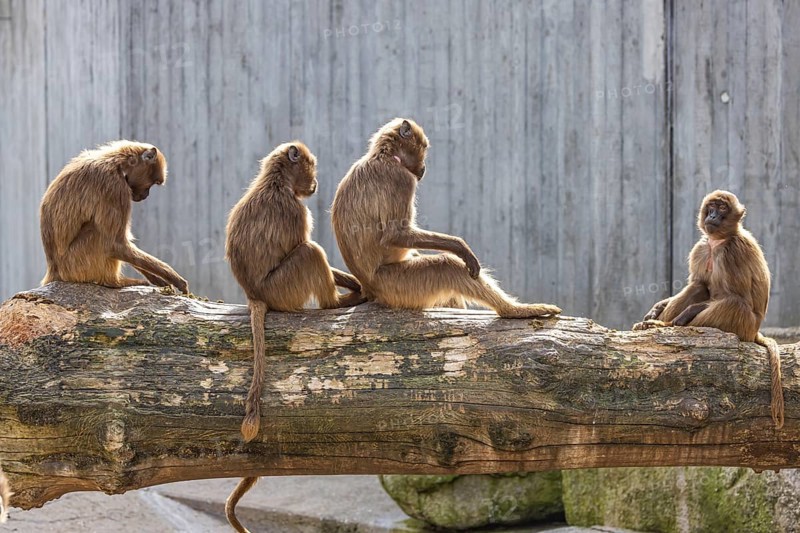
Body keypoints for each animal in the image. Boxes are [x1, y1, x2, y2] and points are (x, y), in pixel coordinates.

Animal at [40, 140, 189, 293]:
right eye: (153, 183)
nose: (146, 195)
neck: (116, 162)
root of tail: (54, 271)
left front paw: (157, 278)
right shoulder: (114, 187)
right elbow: (116, 244)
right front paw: (175, 278)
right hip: (75, 265)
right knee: (99, 233)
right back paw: (115, 282)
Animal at [224, 142, 364, 533]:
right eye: (310, 167)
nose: (314, 184)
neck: (275, 182)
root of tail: (256, 295)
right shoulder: (295, 209)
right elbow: (305, 243)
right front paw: (354, 287)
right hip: (285, 288)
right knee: (309, 253)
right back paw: (336, 303)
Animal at [330, 118, 561, 319]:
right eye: (423, 148)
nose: (424, 167)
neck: (384, 156)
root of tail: (370, 290)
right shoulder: (401, 179)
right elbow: (395, 235)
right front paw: (460, 247)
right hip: (396, 285)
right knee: (447, 265)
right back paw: (512, 311)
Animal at [633, 190, 784, 428]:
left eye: (722, 208)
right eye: (711, 207)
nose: (712, 216)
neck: (717, 242)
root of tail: (755, 332)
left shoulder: (733, 253)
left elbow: (737, 298)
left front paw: (685, 313)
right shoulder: (702, 248)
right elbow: (700, 284)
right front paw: (659, 307)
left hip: (744, 325)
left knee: (735, 305)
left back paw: (667, 325)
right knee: (698, 287)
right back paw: (654, 325)